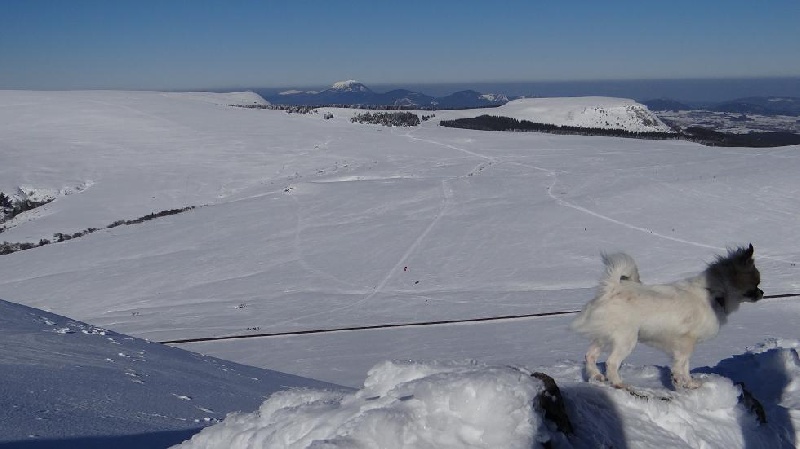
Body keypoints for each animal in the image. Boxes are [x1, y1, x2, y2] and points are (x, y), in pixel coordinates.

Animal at [568, 245, 764, 388]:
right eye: (756, 283)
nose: (762, 293)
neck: (714, 292)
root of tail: (612, 289)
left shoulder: (682, 346)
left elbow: (682, 365)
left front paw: (684, 383)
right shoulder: (687, 343)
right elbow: (682, 366)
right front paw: (686, 382)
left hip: (602, 337)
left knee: (590, 355)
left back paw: (596, 375)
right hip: (626, 339)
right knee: (611, 362)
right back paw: (618, 383)